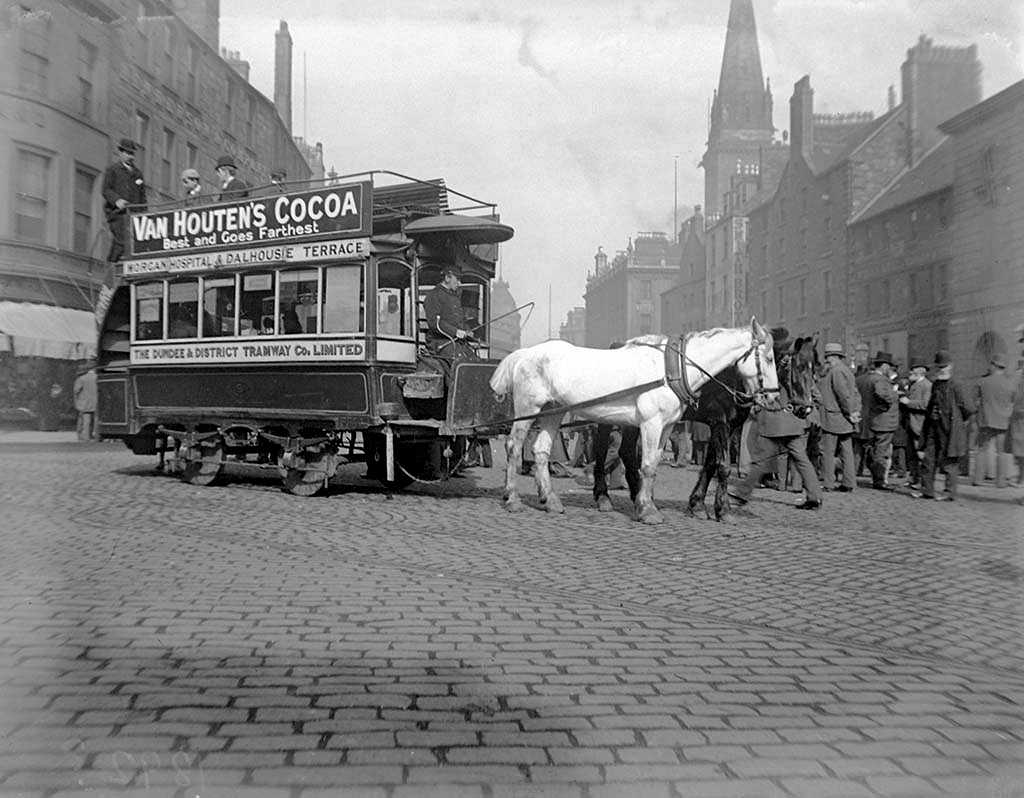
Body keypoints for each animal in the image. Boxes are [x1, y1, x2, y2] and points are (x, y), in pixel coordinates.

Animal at [593, 366, 753, 524]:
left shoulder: (729, 425)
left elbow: (711, 464)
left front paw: (698, 504)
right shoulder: (719, 418)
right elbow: (723, 466)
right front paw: (724, 510)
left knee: (626, 450)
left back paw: (639, 496)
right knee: (601, 447)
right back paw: (603, 496)